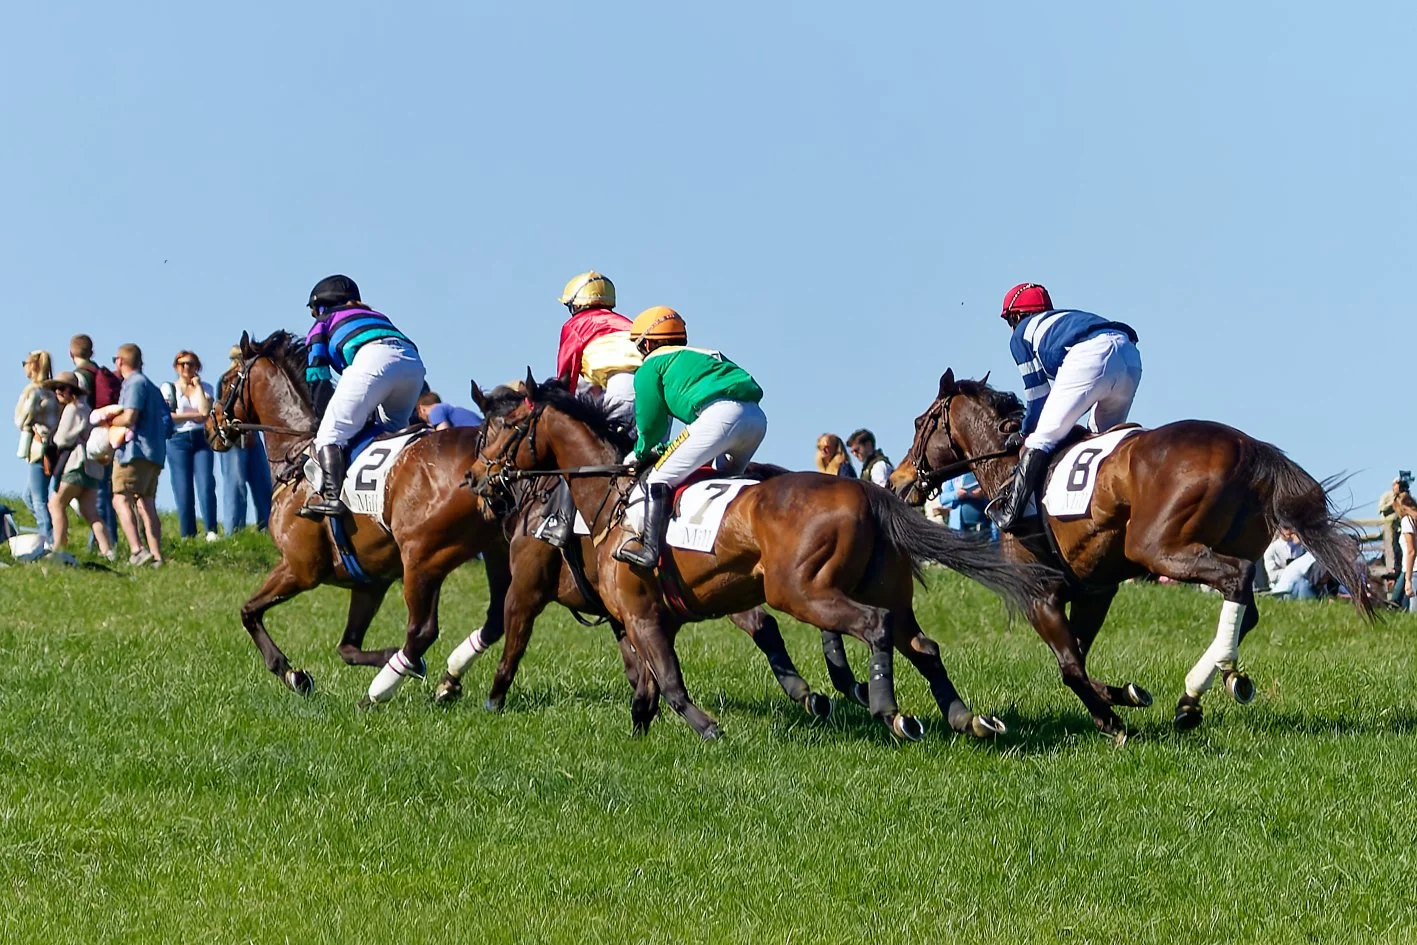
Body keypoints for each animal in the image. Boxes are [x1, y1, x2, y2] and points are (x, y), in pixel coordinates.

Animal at [206, 330, 509, 704]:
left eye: (225, 382)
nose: (209, 428)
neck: (297, 456)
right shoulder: (369, 581)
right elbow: (347, 648)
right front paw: (398, 662)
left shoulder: (299, 568)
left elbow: (248, 611)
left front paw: (292, 674)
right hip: (492, 552)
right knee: (494, 619)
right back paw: (445, 682)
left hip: (421, 559)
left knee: (422, 630)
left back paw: (377, 694)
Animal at [468, 374, 1052, 741]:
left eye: (500, 430)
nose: (476, 479)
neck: (608, 500)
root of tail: (867, 491)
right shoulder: (640, 617)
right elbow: (646, 686)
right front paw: (639, 734)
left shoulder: (635, 613)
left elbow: (668, 682)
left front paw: (709, 729)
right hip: (876, 587)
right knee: (922, 644)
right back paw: (963, 719)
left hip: (800, 591)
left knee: (874, 626)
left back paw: (888, 709)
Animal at [888, 368, 1374, 738]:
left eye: (918, 423)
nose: (896, 481)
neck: (1009, 466)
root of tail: (1246, 446)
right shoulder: (1093, 590)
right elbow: (1080, 657)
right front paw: (1125, 695)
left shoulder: (1041, 594)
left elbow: (1070, 666)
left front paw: (1111, 720)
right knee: (1246, 608)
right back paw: (1195, 696)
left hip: (1159, 549)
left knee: (1235, 579)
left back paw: (1214, 681)